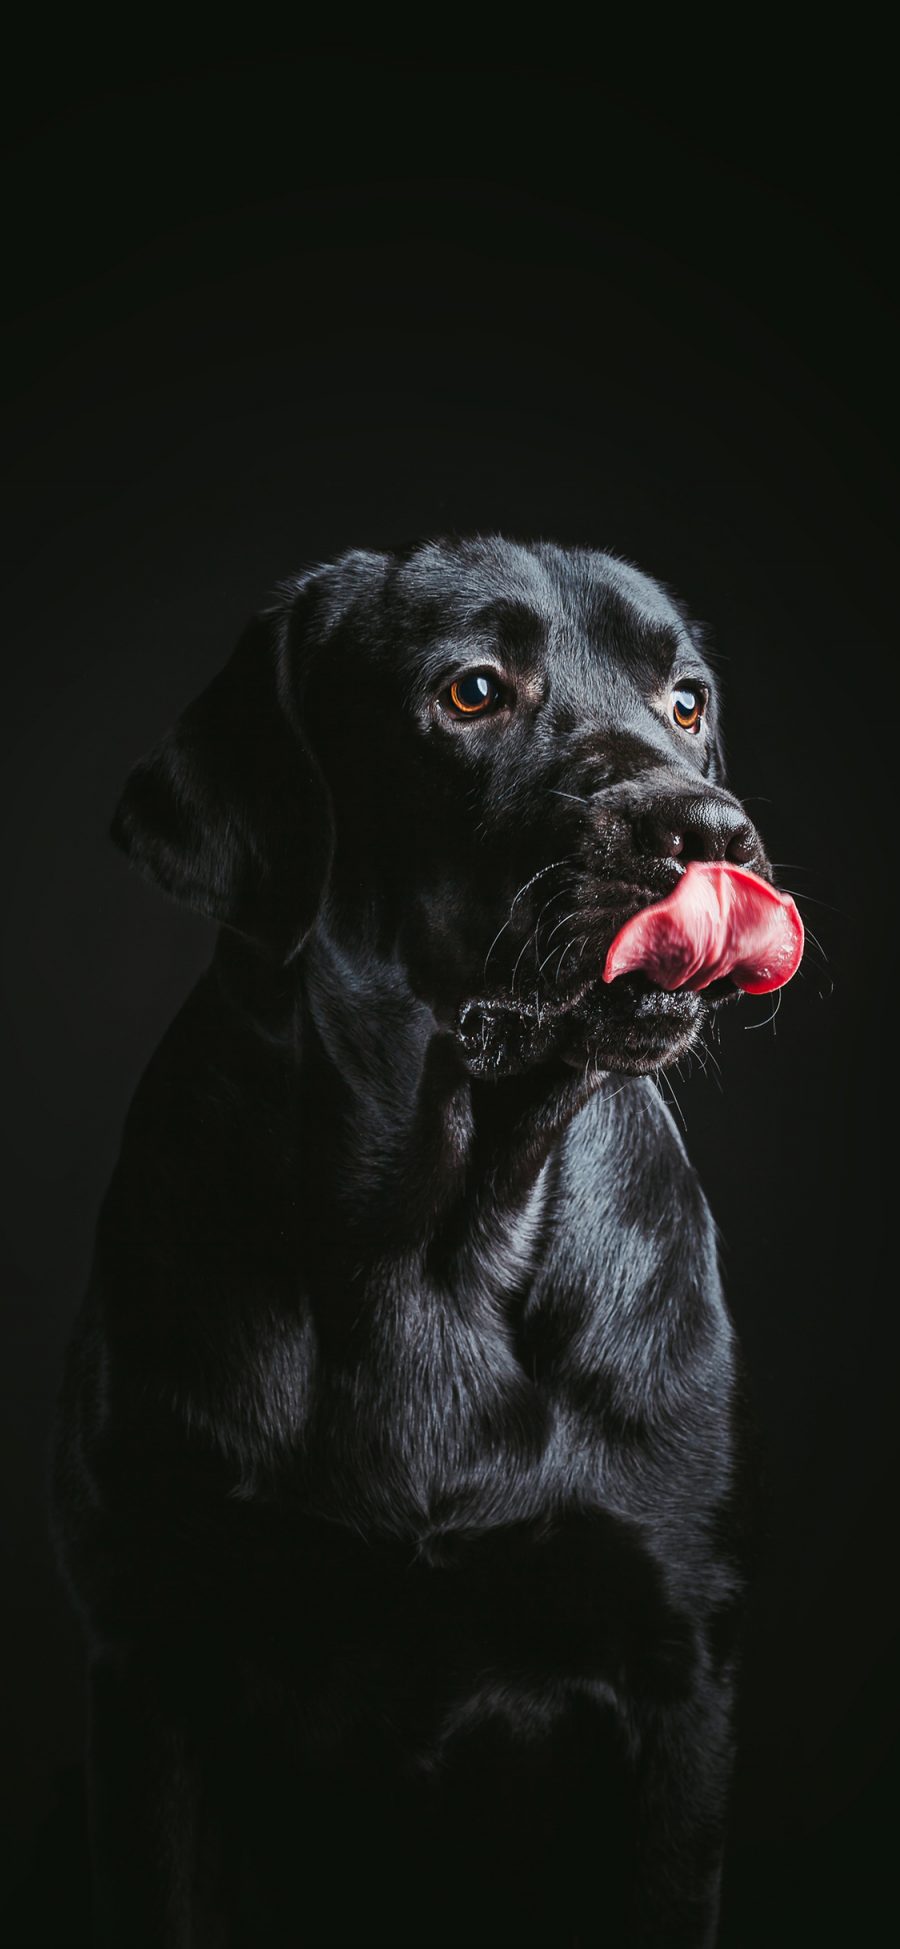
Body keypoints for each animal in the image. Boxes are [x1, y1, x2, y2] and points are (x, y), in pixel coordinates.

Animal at [52, 537, 771, 1949]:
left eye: (687, 701)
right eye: (472, 690)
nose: (710, 833)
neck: (440, 1239)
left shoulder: (681, 1667)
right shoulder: (147, 1649)